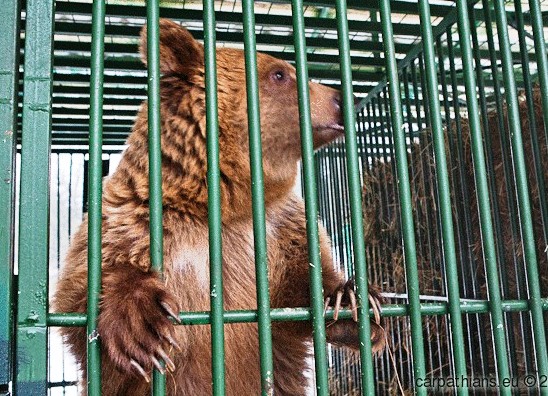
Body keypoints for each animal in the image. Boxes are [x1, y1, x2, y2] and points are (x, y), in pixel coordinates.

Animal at [53, 19, 384, 396]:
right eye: (279, 74)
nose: (344, 98)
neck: (222, 203)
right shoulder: (136, 217)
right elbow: (77, 296)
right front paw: (140, 324)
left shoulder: (282, 228)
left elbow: (302, 288)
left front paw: (352, 302)